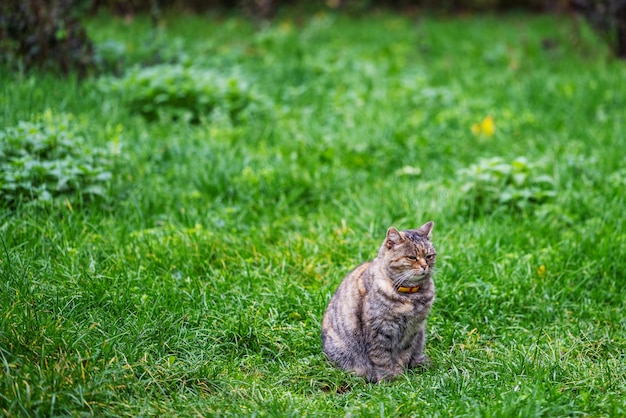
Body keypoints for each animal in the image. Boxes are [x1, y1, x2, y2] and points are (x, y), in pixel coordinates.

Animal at [320, 222, 436, 382]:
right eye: (412, 257)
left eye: (429, 256)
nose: (425, 266)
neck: (409, 297)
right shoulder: (378, 331)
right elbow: (382, 358)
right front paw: (390, 380)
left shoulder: (412, 331)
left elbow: (403, 355)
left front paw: (400, 375)